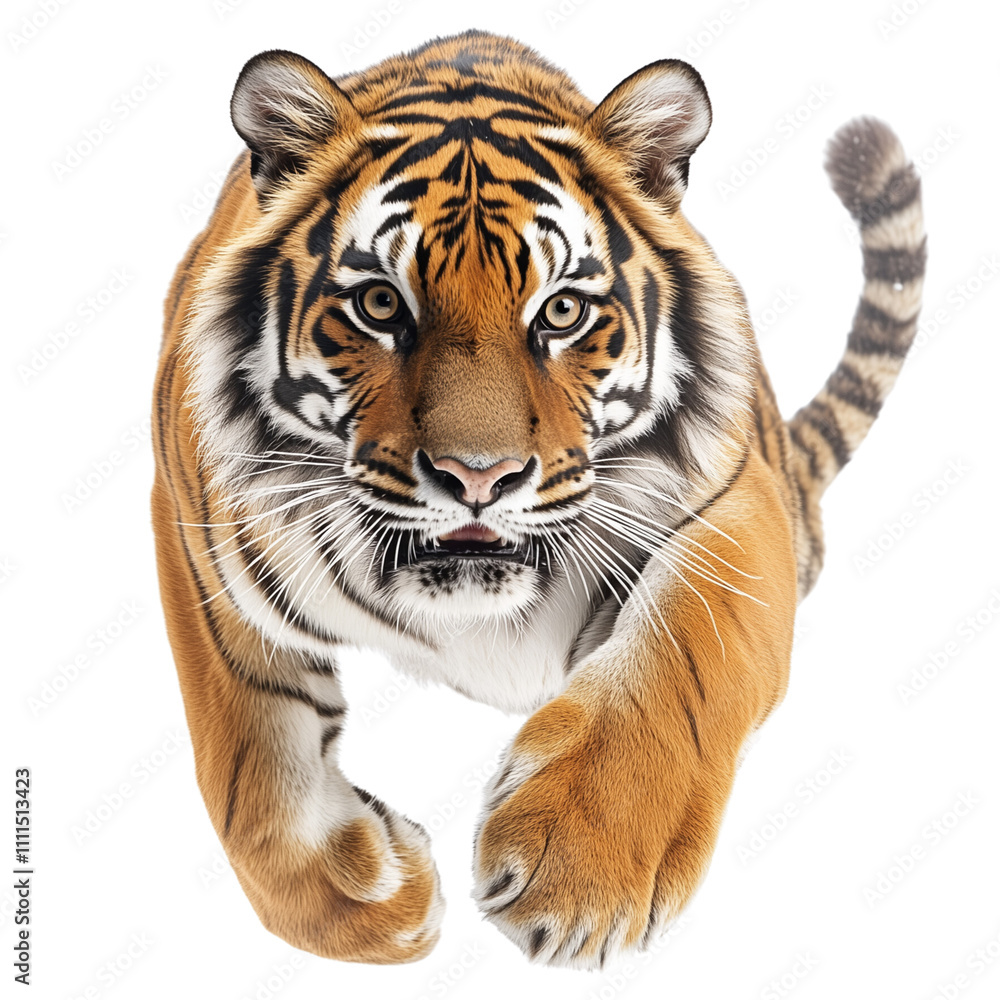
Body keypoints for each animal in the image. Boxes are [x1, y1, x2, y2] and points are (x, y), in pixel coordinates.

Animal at [151, 30, 926, 969]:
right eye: (380, 304)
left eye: (559, 313)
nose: (478, 477)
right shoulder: (198, 537)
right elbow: (249, 769)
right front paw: (376, 899)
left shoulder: (738, 498)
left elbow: (692, 651)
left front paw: (579, 871)